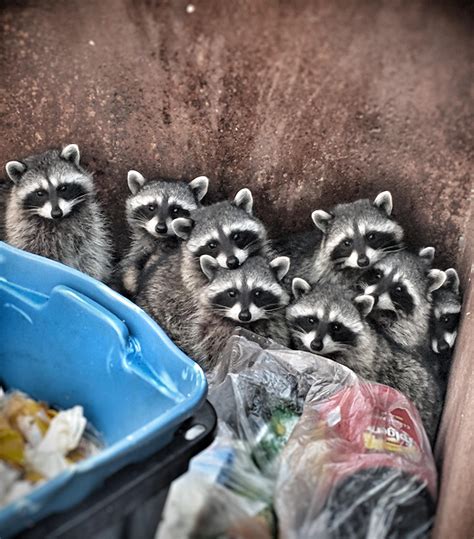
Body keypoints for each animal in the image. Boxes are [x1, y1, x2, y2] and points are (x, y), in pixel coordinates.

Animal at [4, 146, 113, 284]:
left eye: (62, 188)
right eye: (40, 193)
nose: (56, 213)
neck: (58, 220)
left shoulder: (88, 226)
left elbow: (89, 255)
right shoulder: (26, 232)